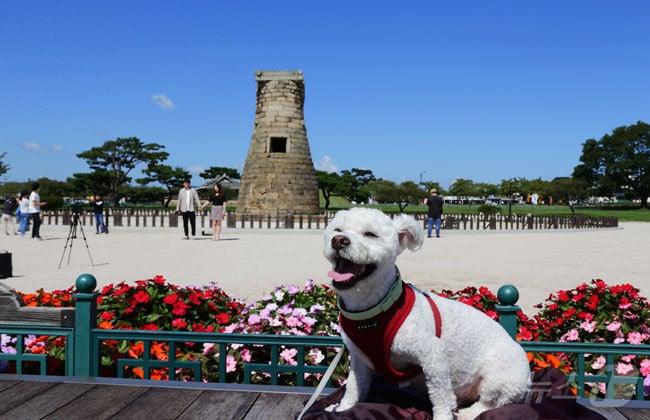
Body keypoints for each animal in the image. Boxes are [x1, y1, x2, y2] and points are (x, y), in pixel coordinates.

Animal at [322, 209, 528, 420]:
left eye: (370, 234)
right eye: (337, 230)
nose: (338, 240)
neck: (374, 311)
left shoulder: (432, 354)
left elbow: (440, 394)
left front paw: (443, 416)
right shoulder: (359, 359)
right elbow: (354, 387)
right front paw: (342, 408)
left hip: (502, 377)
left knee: (489, 403)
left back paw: (469, 413)